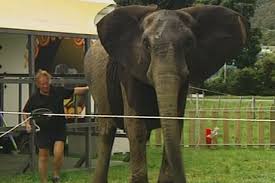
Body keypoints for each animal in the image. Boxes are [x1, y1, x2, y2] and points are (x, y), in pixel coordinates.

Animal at [84, 4, 248, 183]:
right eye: (146, 44)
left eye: (189, 43)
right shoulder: (128, 71)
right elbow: (136, 126)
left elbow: (175, 124)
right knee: (107, 131)